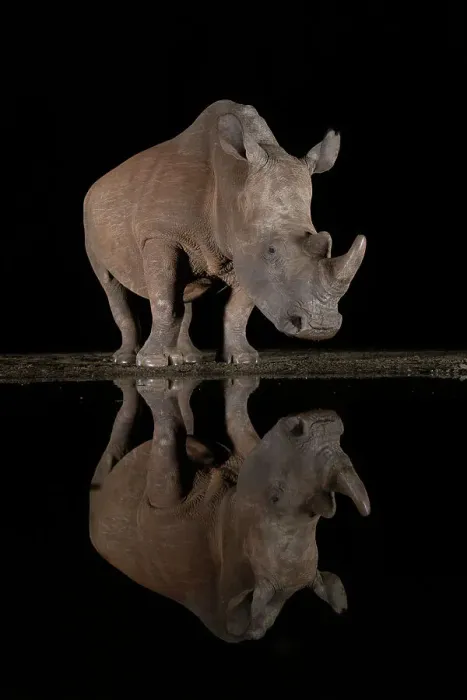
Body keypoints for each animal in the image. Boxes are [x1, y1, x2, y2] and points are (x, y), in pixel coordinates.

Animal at [84, 100, 366, 366]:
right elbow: (165, 302)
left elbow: (238, 309)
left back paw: (189, 357)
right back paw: (127, 359)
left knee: (185, 291)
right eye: (272, 251)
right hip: (91, 217)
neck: (234, 179)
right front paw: (152, 362)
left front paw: (242, 359)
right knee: (111, 284)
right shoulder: (161, 235)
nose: (320, 328)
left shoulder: (243, 250)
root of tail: (97, 184)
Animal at [90, 377, 370, 642]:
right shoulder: (248, 459)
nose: (322, 421)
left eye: (276, 496)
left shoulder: (167, 515)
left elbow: (167, 445)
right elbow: (242, 429)